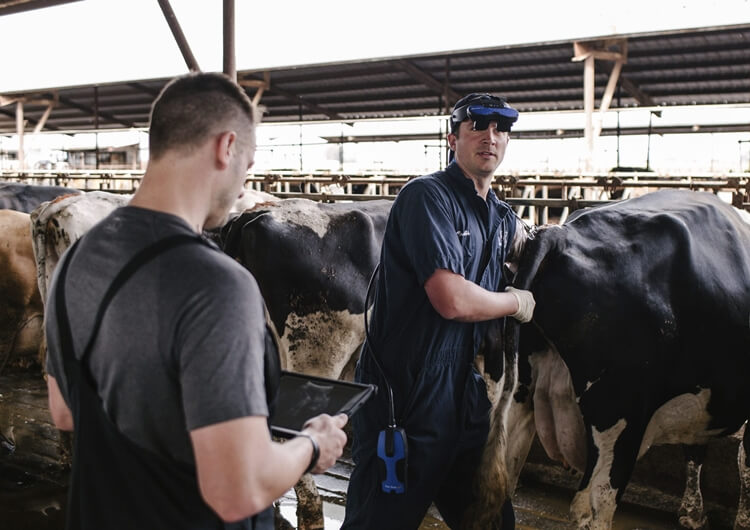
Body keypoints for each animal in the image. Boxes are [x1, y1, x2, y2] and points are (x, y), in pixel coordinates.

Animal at [472, 190, 750, 528]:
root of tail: (557, 234)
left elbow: (696, 447)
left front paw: (692, 513)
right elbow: (744, 461)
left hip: (515, 394)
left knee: (505, 476)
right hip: (618, 413)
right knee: (595, 503)